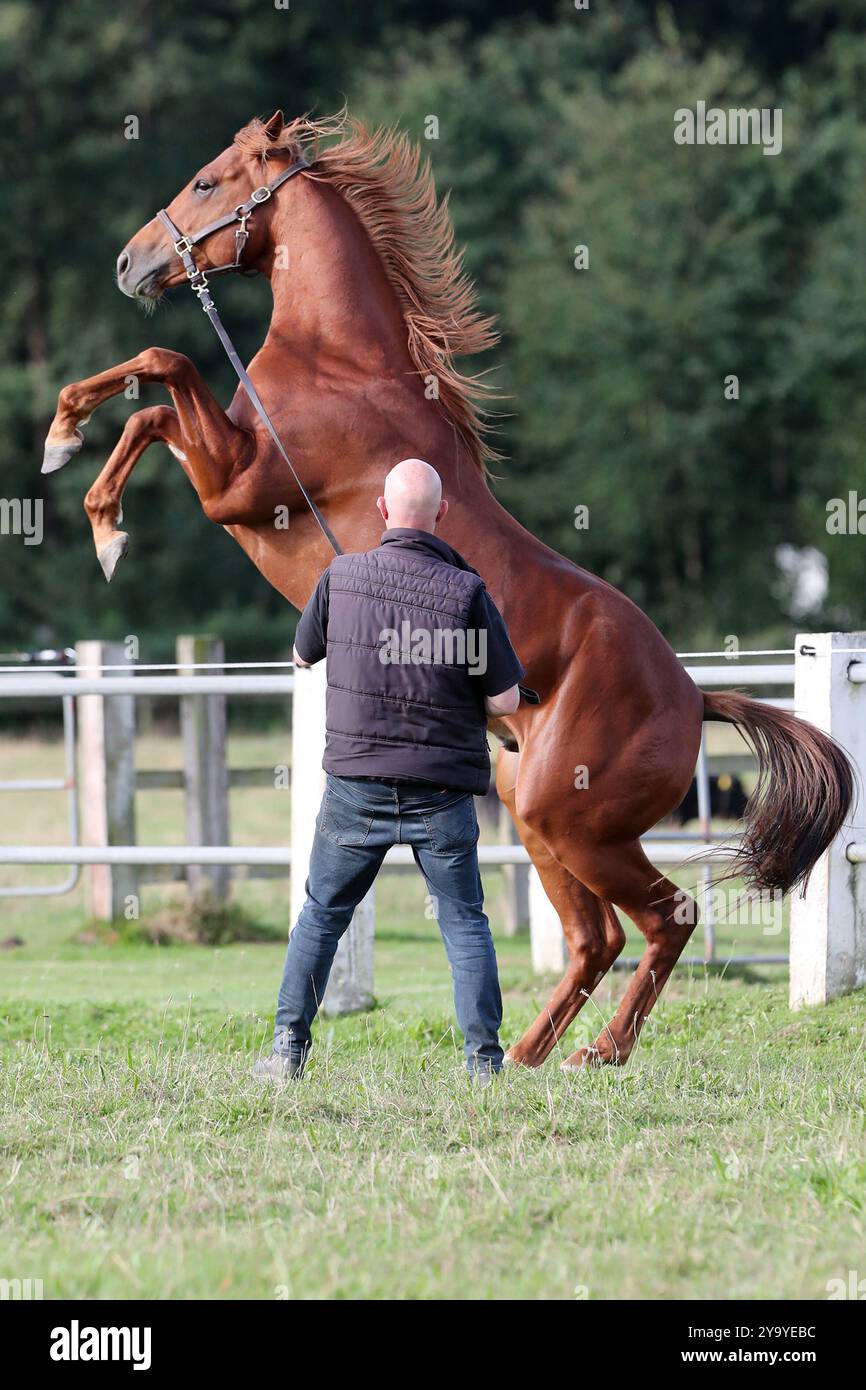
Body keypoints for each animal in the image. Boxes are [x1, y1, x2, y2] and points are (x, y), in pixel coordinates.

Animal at [41, 109, 854, 1069]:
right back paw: (528, 1055)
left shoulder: (237, 488)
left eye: (207, 181)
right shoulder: (229, 475)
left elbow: (161, 372)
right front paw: (68, 443)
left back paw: (597, 1053)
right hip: (539, 821)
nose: (129, 263)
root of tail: (695, 696)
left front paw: (99, 515)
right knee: (597, 937)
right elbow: (151, 390)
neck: (341, 364)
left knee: (666, 917)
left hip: (572, 824)